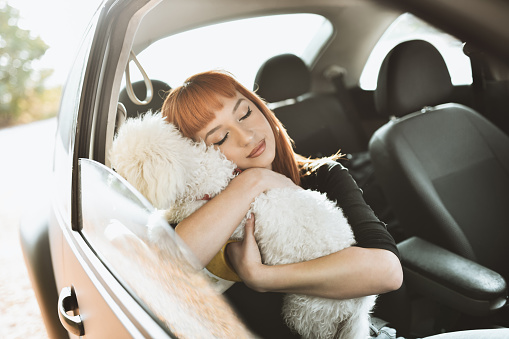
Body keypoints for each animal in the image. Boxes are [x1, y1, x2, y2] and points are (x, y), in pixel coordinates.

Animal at [110, 113, 374, 338]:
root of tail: (361, 305)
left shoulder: (198, 209)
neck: (199, 172)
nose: (111, 171)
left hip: (304, 306)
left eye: (124, 167)